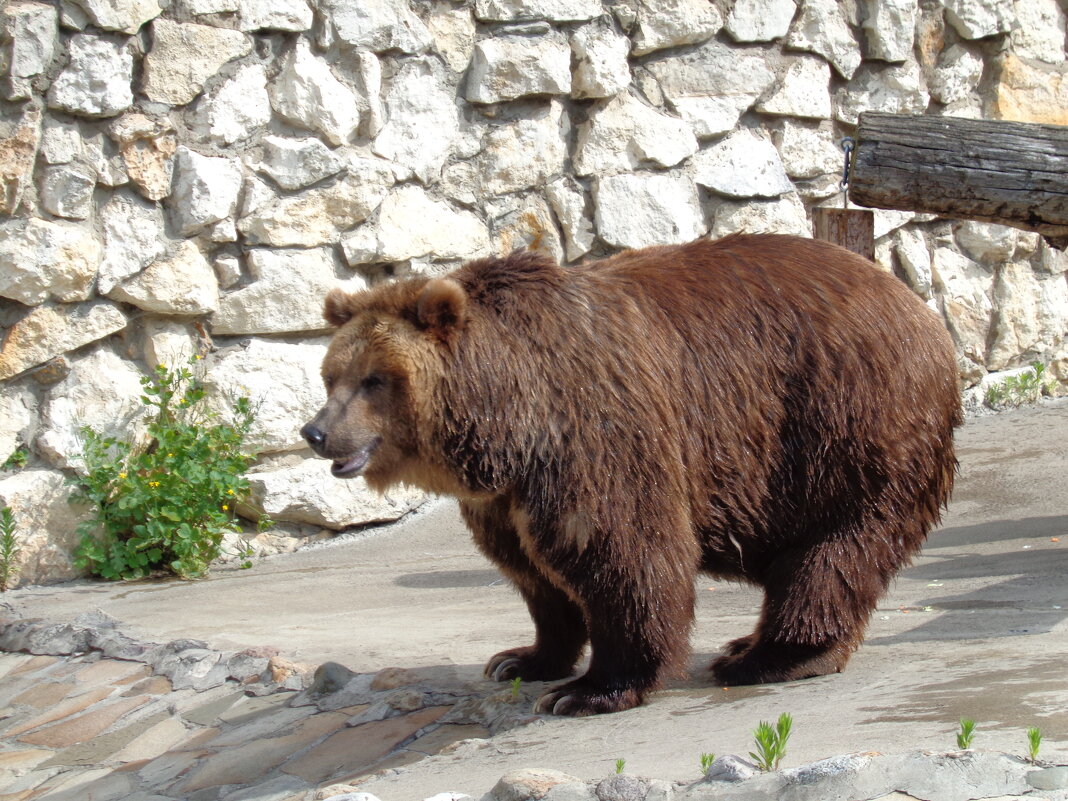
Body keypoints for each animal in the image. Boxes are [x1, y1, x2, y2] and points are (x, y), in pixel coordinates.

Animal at [301, 234, 961, 717]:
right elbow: (532, 572)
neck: (504, 420)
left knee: (835, 545)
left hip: (840, 421)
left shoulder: (594, 431)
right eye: (331, 375)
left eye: (375, 379)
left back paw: (771, 657)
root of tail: (918, 308)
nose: (317, 432)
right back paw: (748, 644)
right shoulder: (503, 497)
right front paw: (524, 658)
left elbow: (623, 551)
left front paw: (592, 689)